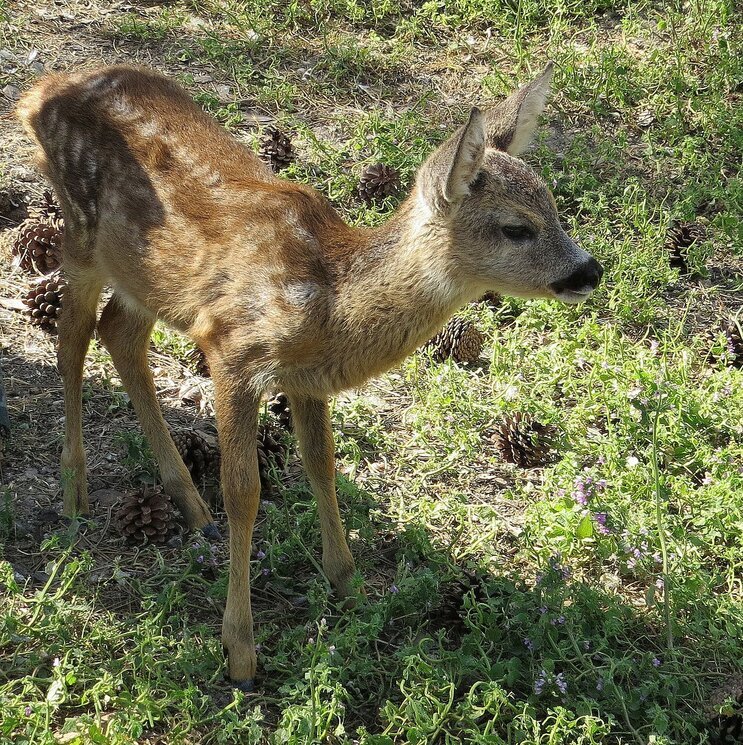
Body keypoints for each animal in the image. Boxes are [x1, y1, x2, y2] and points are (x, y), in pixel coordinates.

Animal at [17, 61, 604, 688]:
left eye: (555, 208)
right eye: (516, 228)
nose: (590, 270)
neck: (330, 304)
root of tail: (39, 92)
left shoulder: (306, 379)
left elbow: (322, 465)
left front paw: (350, 585)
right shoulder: (231, 348)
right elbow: (244, 490)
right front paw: (240, 650)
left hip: (143, 275)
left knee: (119, 334)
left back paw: (190, 506)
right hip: (80, 232)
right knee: (72, 339)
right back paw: (74, 492)